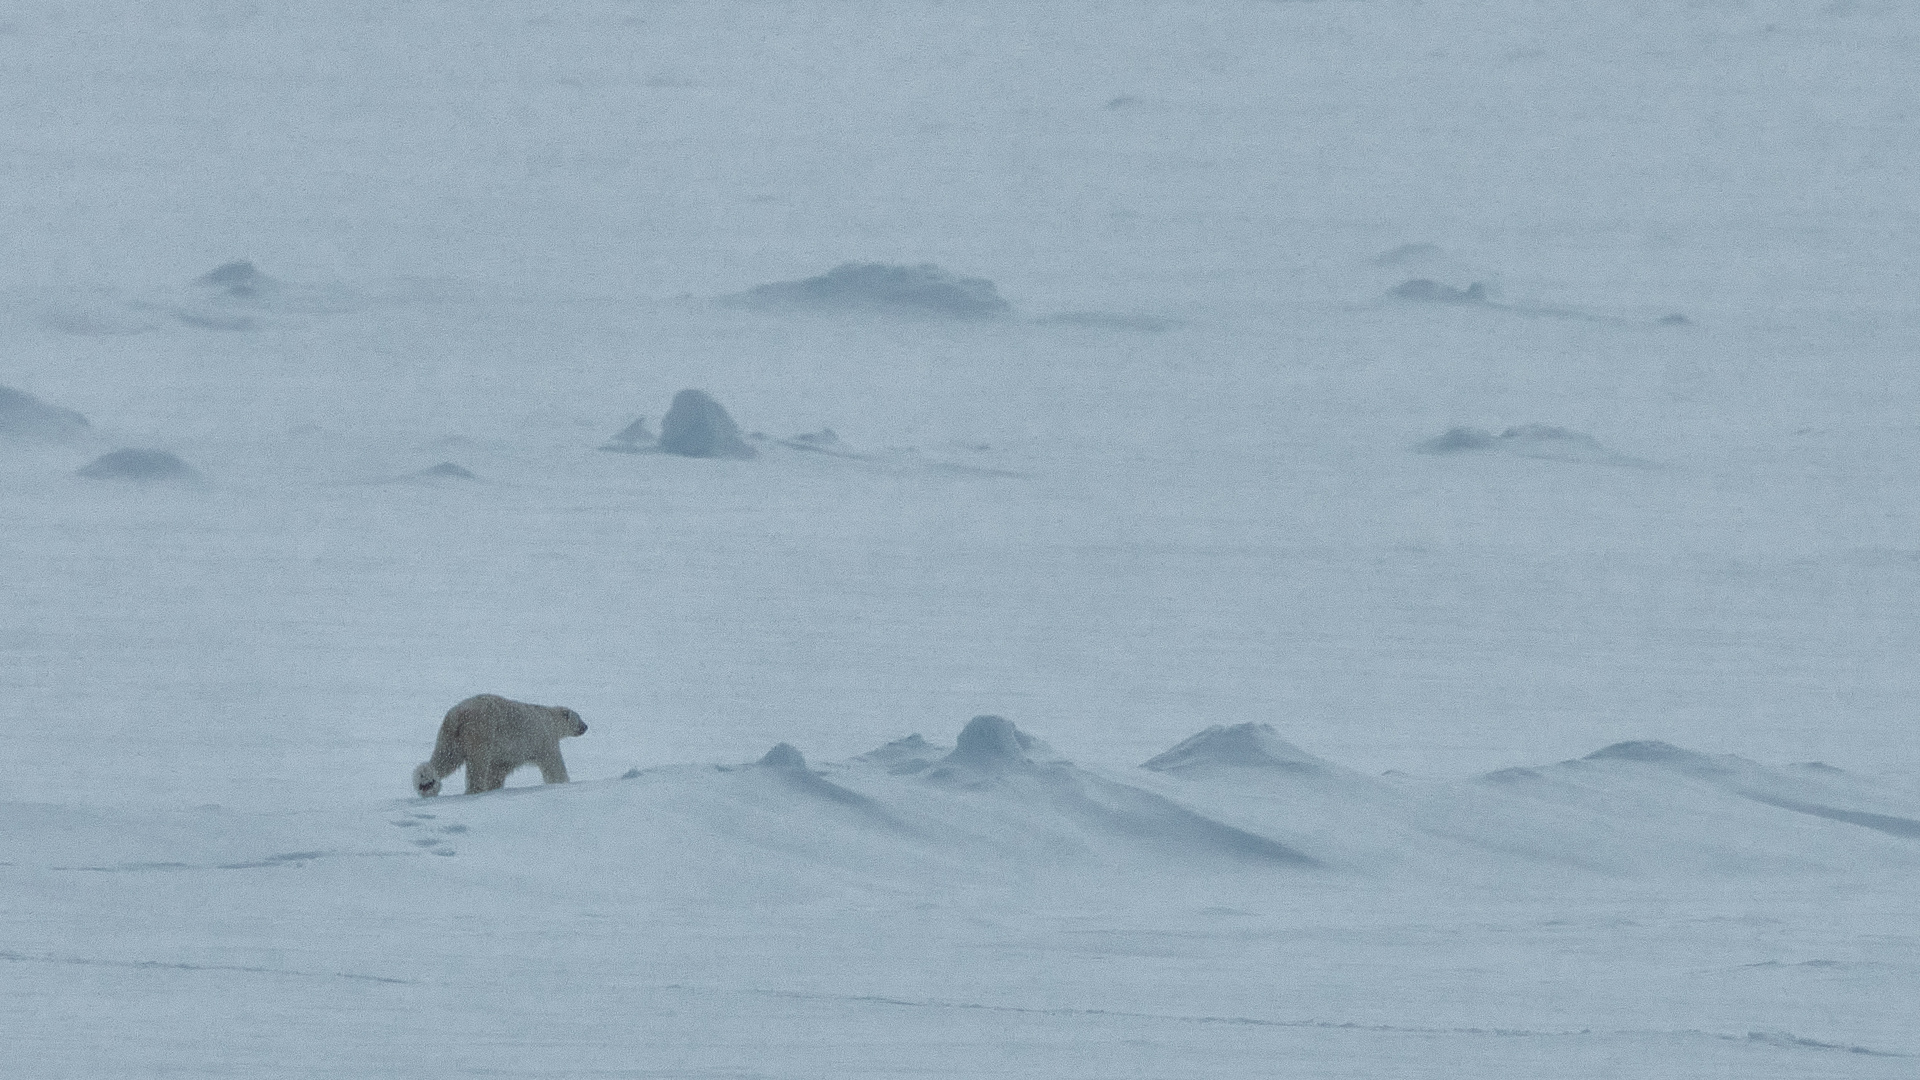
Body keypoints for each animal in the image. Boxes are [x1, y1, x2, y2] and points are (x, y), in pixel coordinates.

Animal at [407, 691, 579, 795]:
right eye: (579, 718)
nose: (584, 727)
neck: (550, 718)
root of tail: (458, 715)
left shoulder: (505, 755)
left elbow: (498, 771)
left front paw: (494, 788)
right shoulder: (543, 738)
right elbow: (553, 763)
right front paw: (563, 782)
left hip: (449, 735)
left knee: (445, 757)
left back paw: (426, 783)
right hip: (481, 730)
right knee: (477, 763)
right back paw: (474, 789)